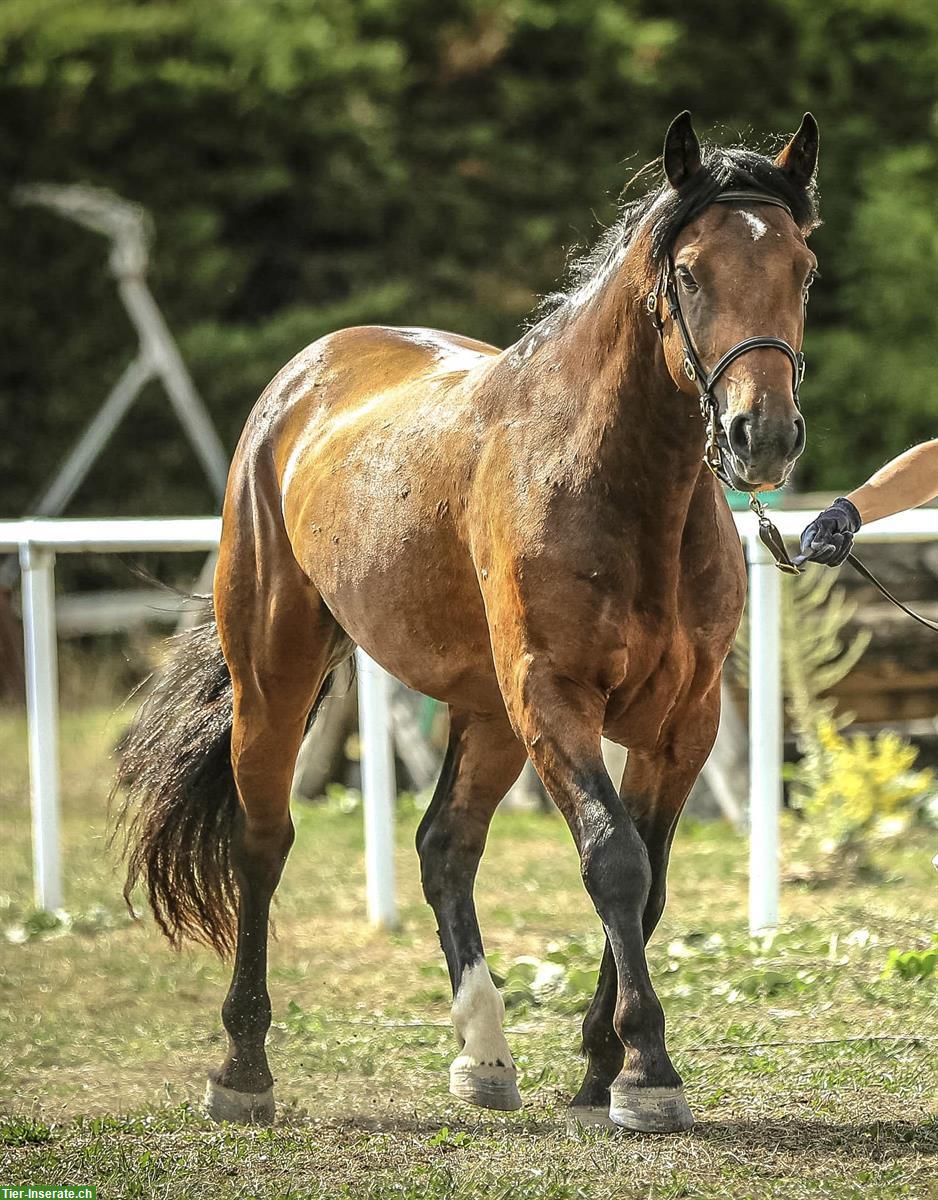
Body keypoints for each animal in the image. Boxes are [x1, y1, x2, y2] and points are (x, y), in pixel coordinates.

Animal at [117, 114, 820, 1132]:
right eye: (690, 272)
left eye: (803, 269)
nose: (759, 434)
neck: (614, 484)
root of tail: (302, 381)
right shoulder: (553, 698)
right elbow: (615, 863)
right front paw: (647, 1070)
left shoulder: (683, 723)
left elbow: (646, 885)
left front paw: (600, 1069)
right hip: (278, 675)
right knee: (262, 841)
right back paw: (243, 1070)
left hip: (485, 714)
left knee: (444, 846)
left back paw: (483, 1057)